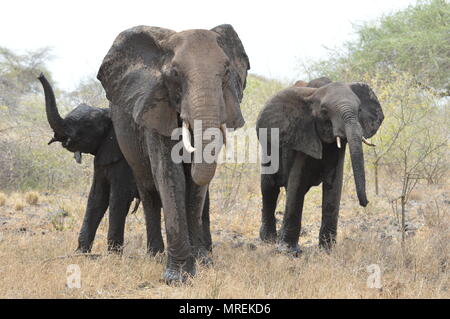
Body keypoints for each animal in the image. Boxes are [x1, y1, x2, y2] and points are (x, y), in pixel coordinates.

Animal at [96, 25, 250, 284]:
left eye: (227, 71)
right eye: (175, 74)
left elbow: (196, 187)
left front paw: (201, 264)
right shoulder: (156, 107)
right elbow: (170, 174)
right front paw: (177, 278)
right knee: (149, 192)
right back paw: (155, 254)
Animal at [256, 78, 384, 255]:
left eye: (359, 110)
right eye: (324, 111)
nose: (365, 203)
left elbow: (334, 184)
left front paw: (327, 251)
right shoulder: (302, 134)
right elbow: (297, 183)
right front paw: (289, 252)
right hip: (268, 148)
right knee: (269, 187)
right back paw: (268, 240)